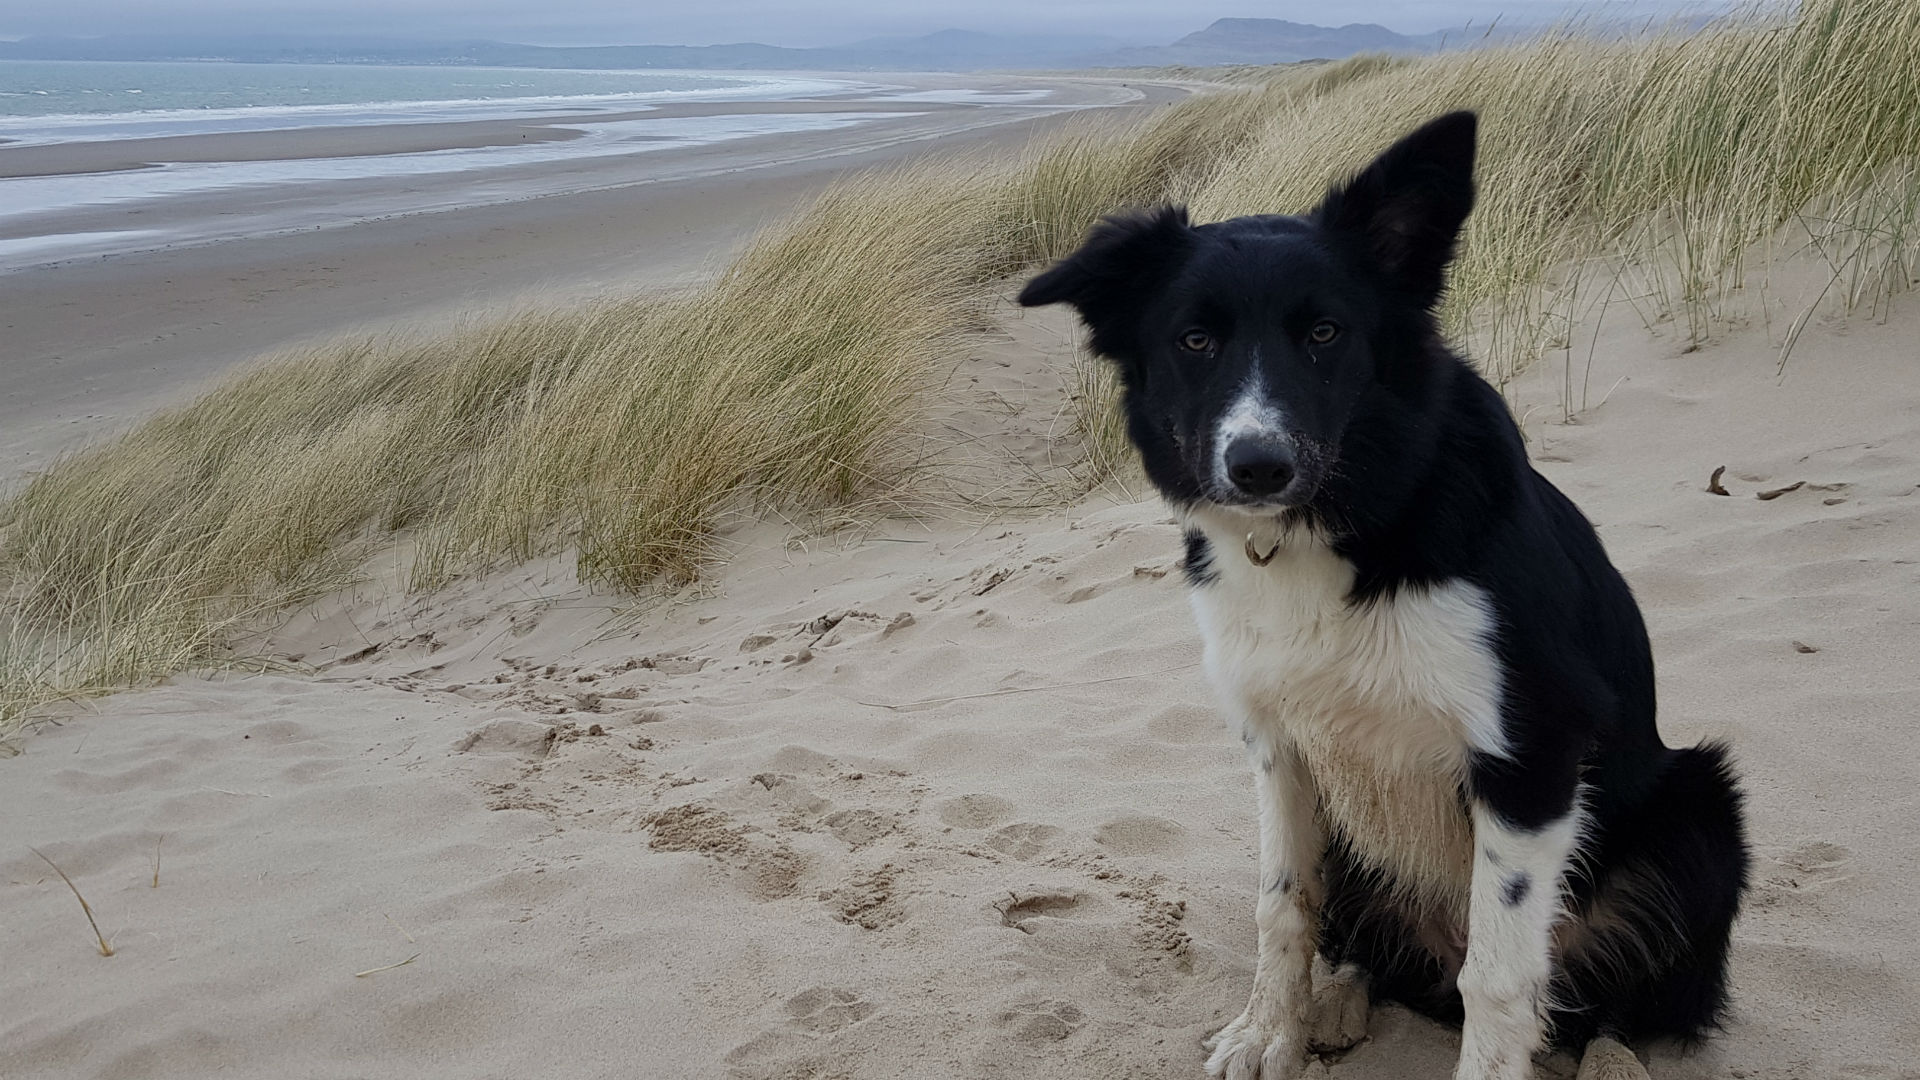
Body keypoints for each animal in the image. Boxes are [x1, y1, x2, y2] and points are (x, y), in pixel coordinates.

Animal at [1018, 111, 1749, 1080]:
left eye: (1326, 333)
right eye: (1195, 340)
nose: (1258, 467)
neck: (1333, 525)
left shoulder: (1532, 753)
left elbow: (1501, 978)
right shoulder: (1281, 746)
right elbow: (1282, 906)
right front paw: (1268, 1033)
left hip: (1701, 810)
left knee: (1603, 1003)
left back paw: (1608, 1057)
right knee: (1375, 950)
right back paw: (1337, 1003)